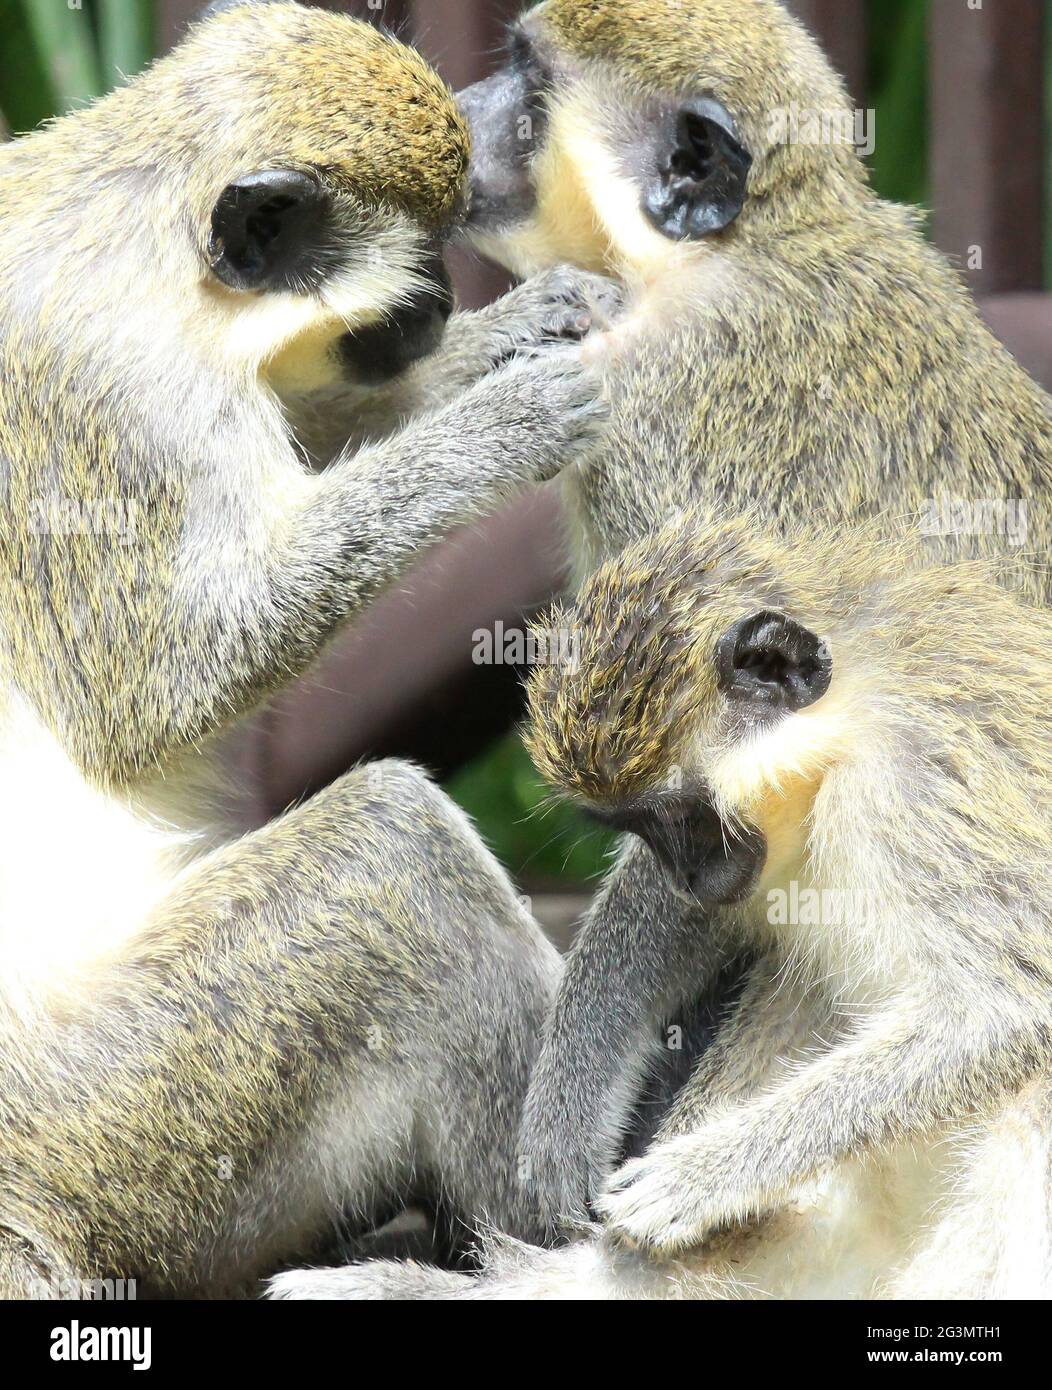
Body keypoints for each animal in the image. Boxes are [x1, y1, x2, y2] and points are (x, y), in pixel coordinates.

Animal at [0, 5, 619, 1295]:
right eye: (418, 264)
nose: (440, 306)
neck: (143, 239)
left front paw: (509, 338)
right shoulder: (117, 398)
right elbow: (157, 691)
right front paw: (499, 425)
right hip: (125, 1112)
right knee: (391, 851)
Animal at [276, 511, 1050, 1301]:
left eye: (686, 818)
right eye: (641, 827)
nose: (691, 877)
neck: (851, 718)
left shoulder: (914, 792)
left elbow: (1002, 1014)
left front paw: (700, 1175)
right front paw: (572, 1106)